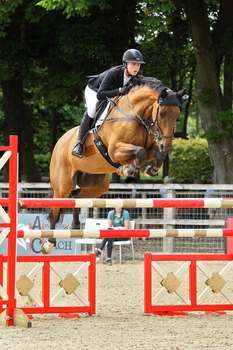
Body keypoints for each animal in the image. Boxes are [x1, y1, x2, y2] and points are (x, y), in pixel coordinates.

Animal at [41, 76, 185, 253]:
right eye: (162, 113)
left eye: (177, 115)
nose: (168, 145)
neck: (136, 115)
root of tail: (60, 142)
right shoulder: (115, 150)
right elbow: (140, 152)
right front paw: (127, 169)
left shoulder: (150, 147)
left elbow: (155, 153)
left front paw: (149, 169)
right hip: (63, 183)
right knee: (57, 205)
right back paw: (49, 242)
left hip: (96, 184)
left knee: (75, 197)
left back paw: (74, 226)